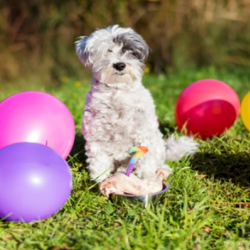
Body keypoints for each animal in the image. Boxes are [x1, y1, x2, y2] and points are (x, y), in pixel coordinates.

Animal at [75, 24, 198, 194]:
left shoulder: (144, 136)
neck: (118, 92)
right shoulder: (96, 139)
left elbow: (145, 163)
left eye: (129, 51)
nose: (120, 65)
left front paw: (146, 180)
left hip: (157, 145)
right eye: (108, 50)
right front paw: (99, 180)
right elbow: (99, 163)